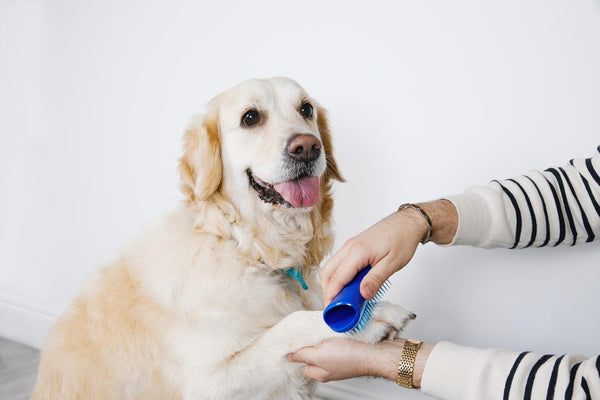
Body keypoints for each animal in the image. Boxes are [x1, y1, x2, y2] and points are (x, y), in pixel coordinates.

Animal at [32, 76, 414, 398]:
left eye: (306, 109)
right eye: (250, 117)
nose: (307, 147)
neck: (246, 248)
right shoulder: (209, 383)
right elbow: (288, 326)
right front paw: (373, 318)